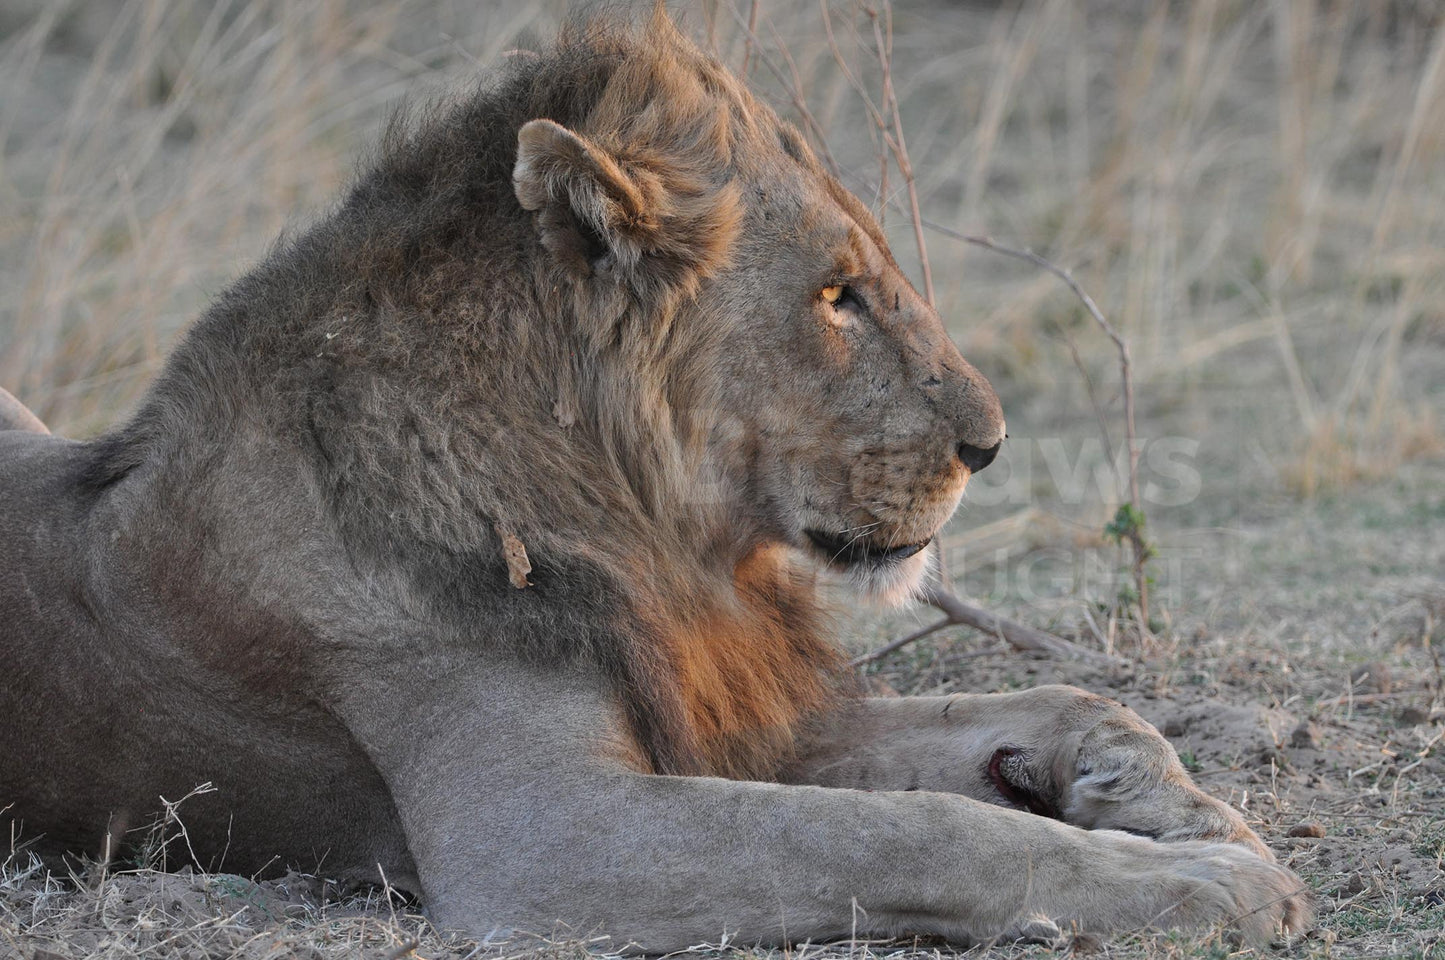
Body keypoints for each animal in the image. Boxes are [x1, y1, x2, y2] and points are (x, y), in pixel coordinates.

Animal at [0, 15, 1312, 954]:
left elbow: (1056, 706)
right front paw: (1211, 885)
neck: (653, 531)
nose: (988, 444)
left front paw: (1170, 801)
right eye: (835, 294)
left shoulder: (726, 702)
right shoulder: (544, 839)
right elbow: (916, 833)